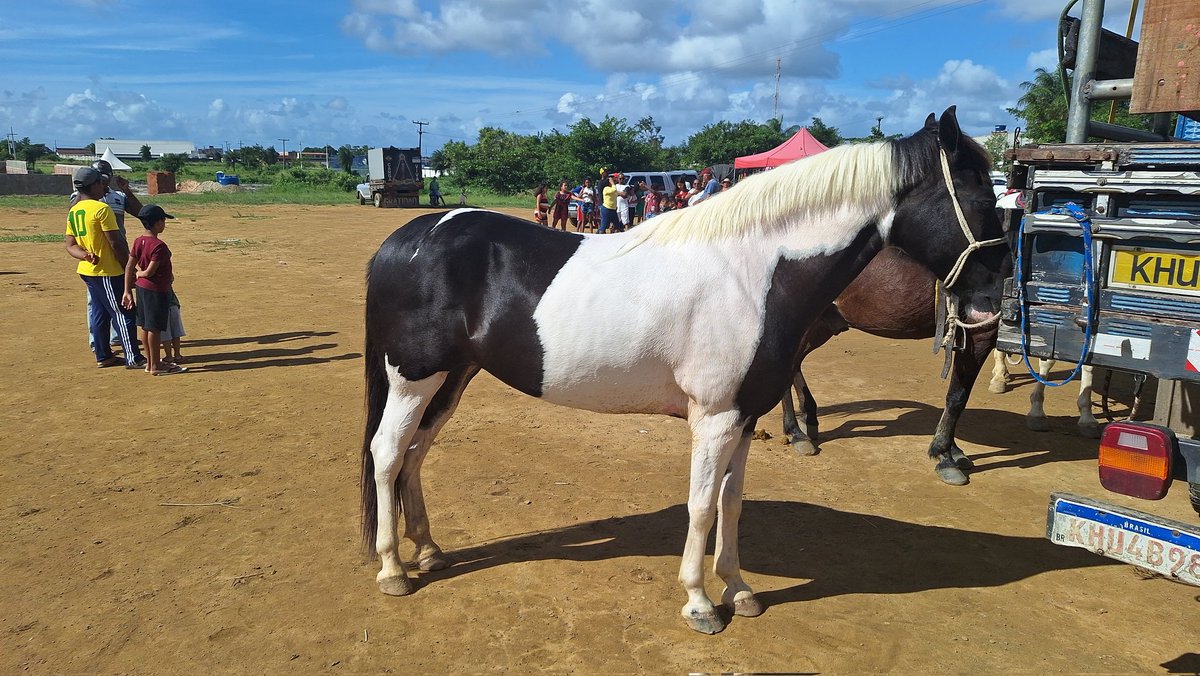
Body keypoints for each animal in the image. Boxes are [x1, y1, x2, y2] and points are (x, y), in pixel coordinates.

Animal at [779, 246, 998, 486]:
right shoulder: (982, 329)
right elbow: (957, 397)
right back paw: (796, 432)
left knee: (795, 365)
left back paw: (807, 417)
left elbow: (958, 395)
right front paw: (944, 456)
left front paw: (953, 450)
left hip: (823, 325)